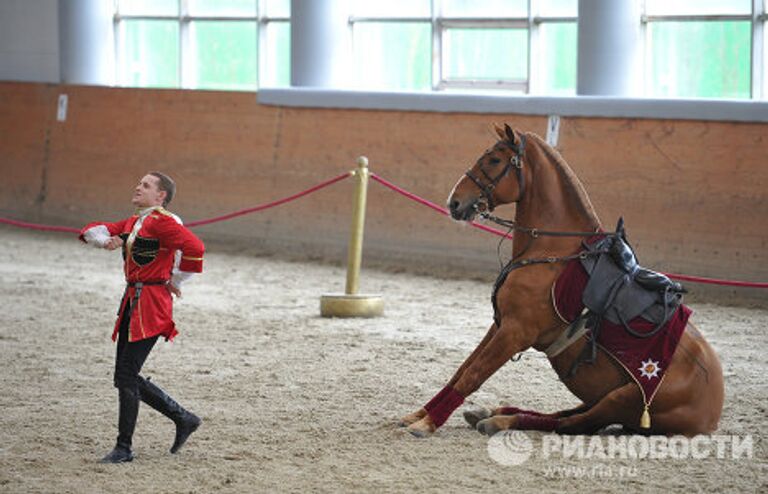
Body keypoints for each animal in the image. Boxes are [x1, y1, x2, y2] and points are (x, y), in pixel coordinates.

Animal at [400, 125, 724, 438]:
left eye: (493, 160)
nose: (454, 202)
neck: (551, 252)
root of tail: (713, 413)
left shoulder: (515, 333)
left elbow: (472, 375)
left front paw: (427, 424)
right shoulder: (501, 325)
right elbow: (462, 369)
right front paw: (419, 414)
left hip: (621, 400)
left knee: (572, 424)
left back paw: (501, 420)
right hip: (601, 397)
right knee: (566, 414)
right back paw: (493, 412)